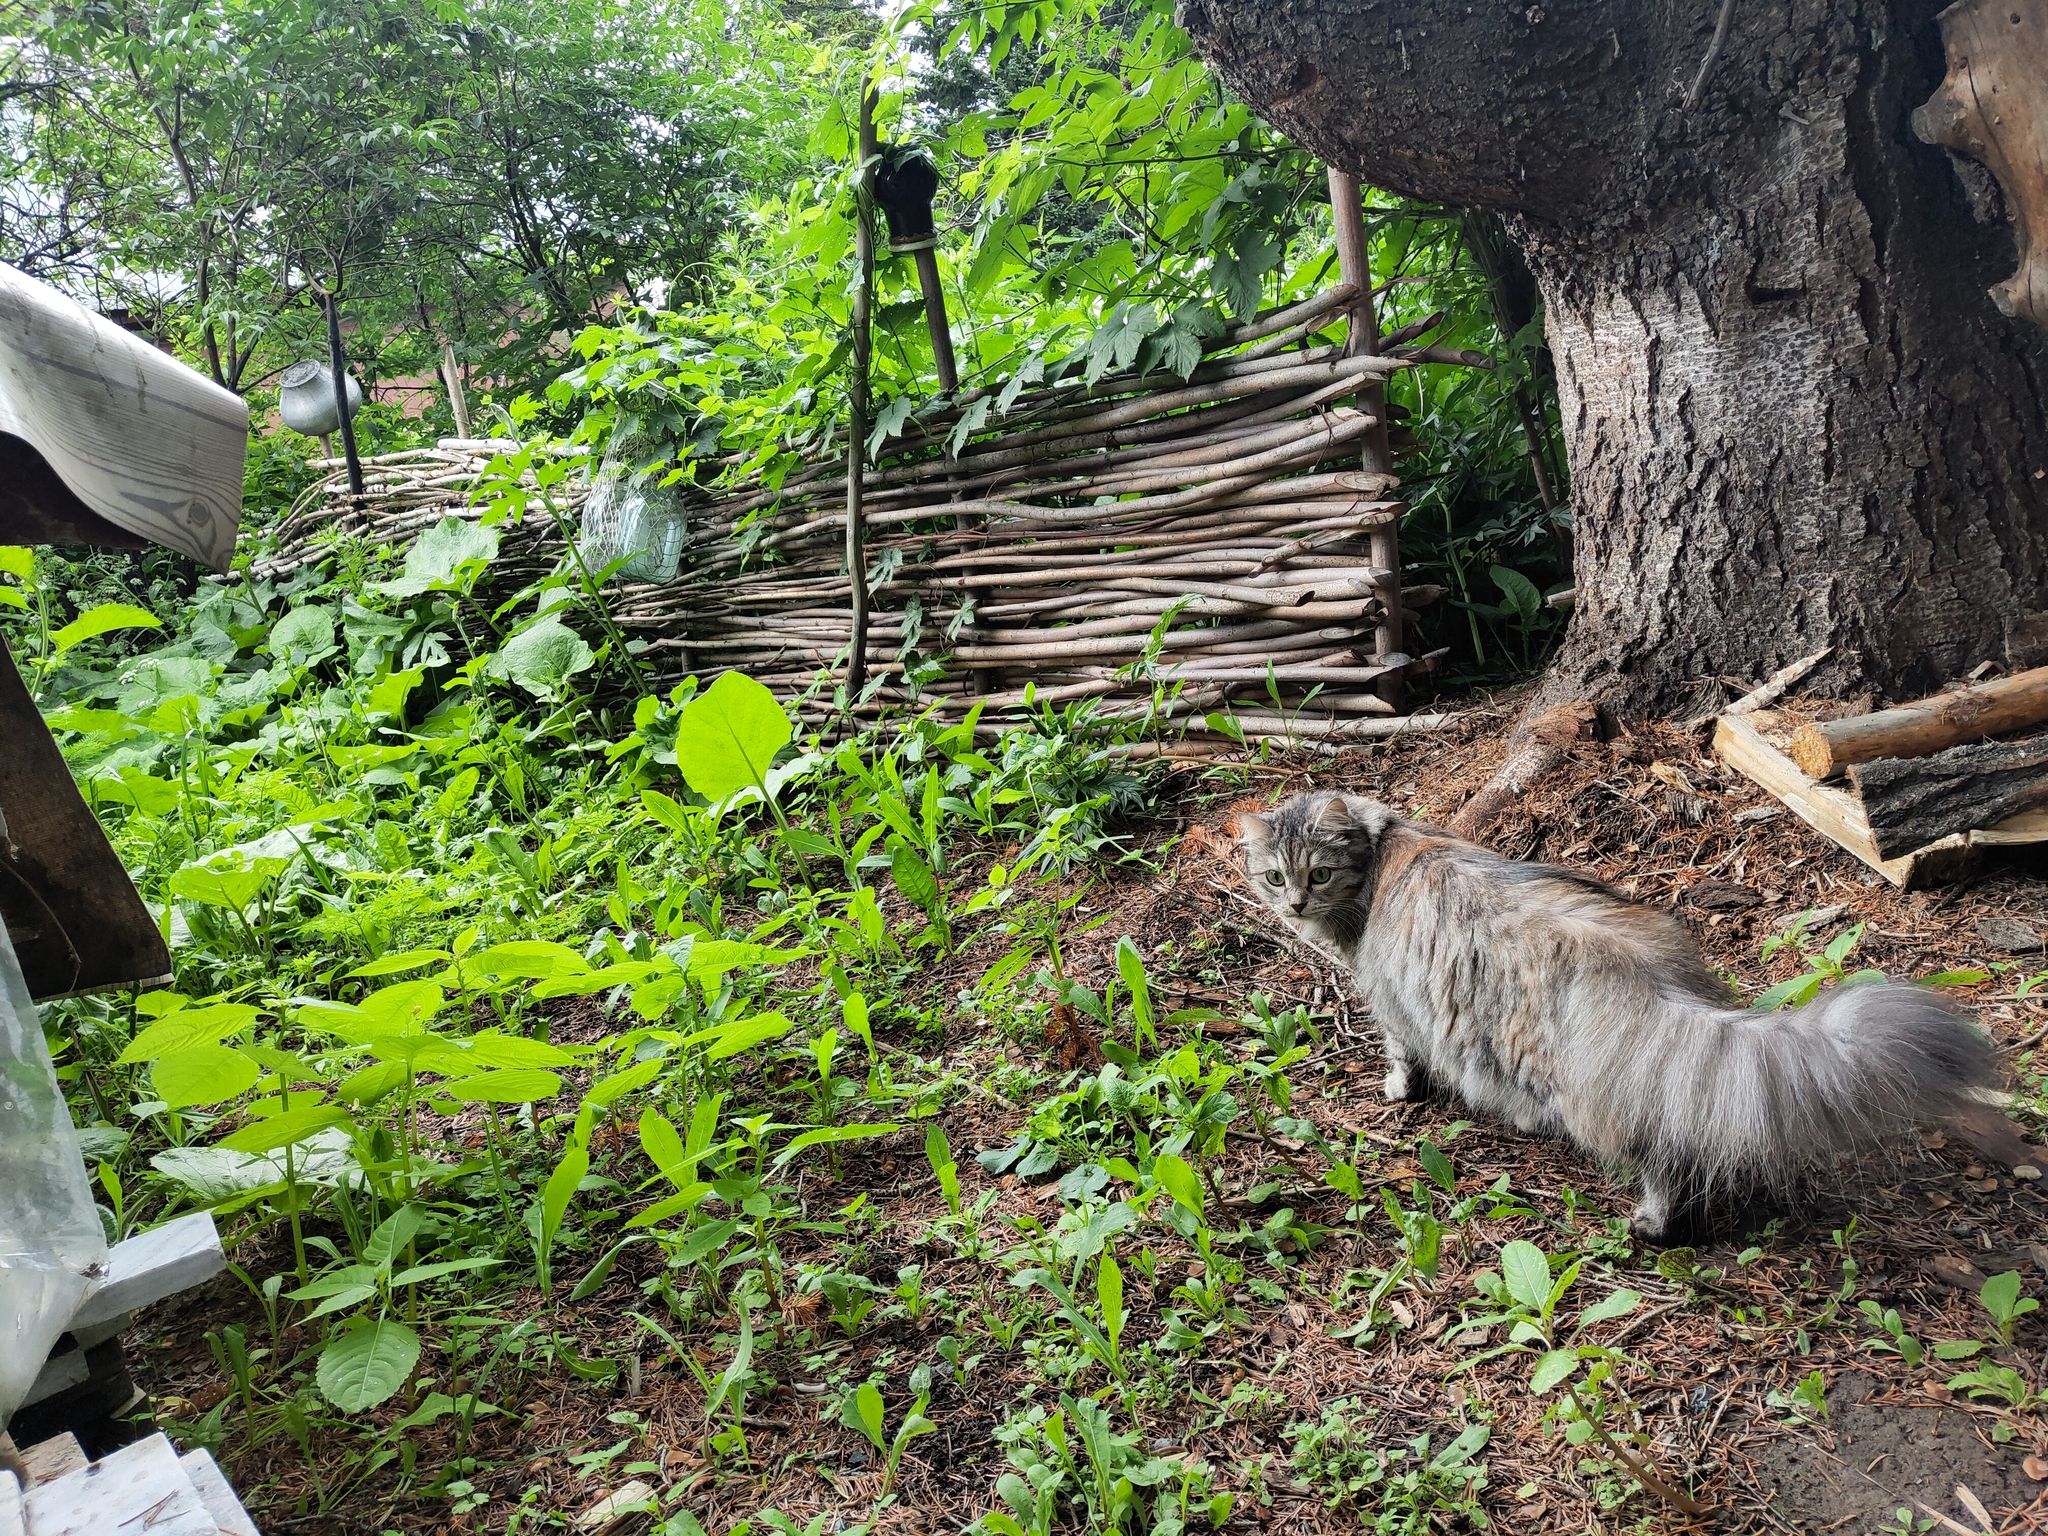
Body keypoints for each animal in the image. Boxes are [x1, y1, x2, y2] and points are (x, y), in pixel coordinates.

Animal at [1228, 794, 1998, 1236]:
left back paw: (1650, 1222)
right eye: (1274, 876)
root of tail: (1642, 971)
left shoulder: (1391, 1003)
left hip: (1561, 1072)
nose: (1292, 905)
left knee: (1659, 1150)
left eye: (1318, 875)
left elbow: (1399, 1052)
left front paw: (1397, 1089)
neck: (1387, 845)